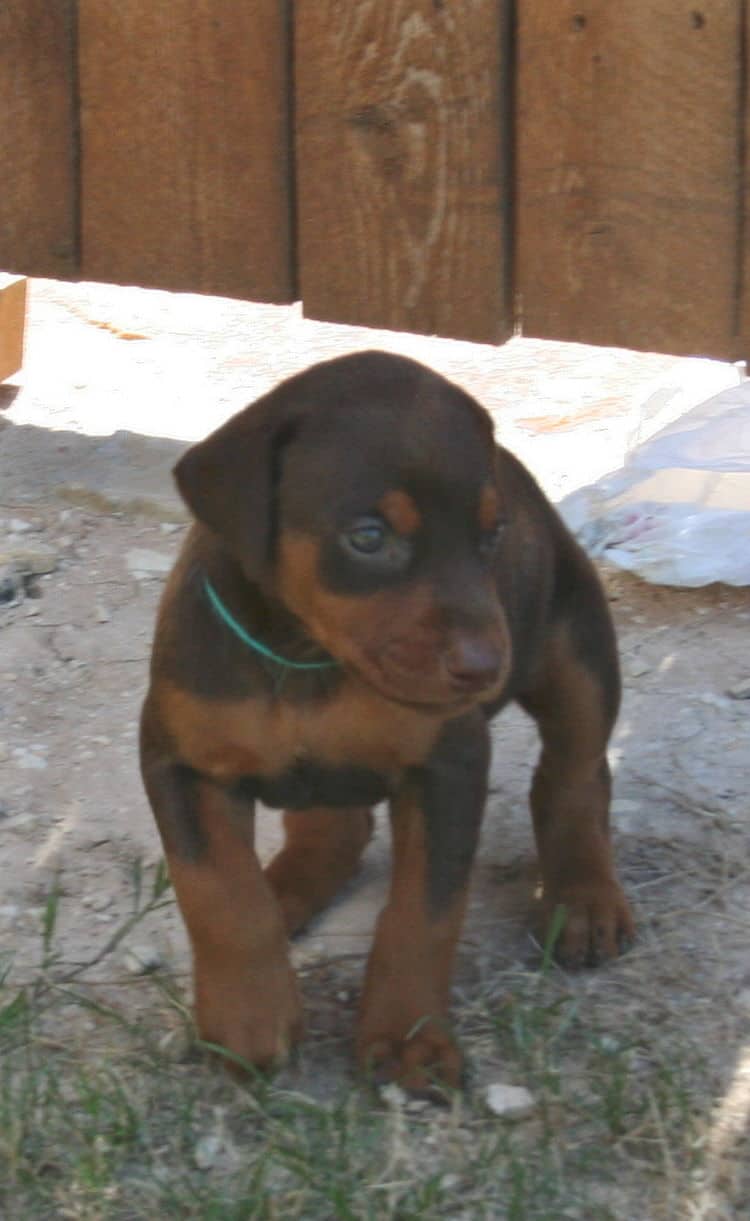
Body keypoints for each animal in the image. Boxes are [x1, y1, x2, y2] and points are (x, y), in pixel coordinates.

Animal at [141, 349, 635, 1094]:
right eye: (368, 537)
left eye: (492, 534)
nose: (486, 665)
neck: (307, 657)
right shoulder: (180, 760)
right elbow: (221, 895)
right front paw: (248, 1018)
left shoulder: (449, 767)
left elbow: (423, 914)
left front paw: (409, 1038)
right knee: (331, 829)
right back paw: (284, 889)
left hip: (576, 645)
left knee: (575, 773)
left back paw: (582, 897)